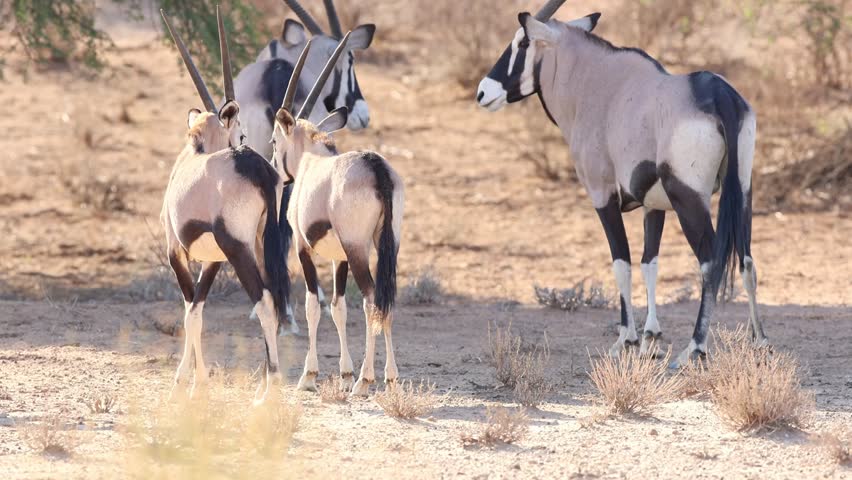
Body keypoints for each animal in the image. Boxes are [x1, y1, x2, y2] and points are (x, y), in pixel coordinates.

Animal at [160, 9, 290, 403]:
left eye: (243, 132)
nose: (243, 142)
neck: (197, 150)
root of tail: (254, 167)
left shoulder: (176, 250)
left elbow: (191, 313)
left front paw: (188, 384)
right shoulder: (214, 260)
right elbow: (197, 307)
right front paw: (193, 382)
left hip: (239, 247)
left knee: (264, 302)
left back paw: (269, 394)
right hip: (262, 245)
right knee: (277, 300)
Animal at [270, 33, 404, 395]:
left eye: (274, 141)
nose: (274, 172)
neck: (312, 159)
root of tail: (375, 168)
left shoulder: (304, 248)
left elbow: (313, 306)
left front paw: (310, 374)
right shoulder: (338, 256)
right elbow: (338, 307)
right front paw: (343, 373)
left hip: (358, 248)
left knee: (372, 299)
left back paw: (366, 380)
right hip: (384, 244)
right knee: (385, 300)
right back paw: (390, 378)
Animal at [476, 0, 768, 367]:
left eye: (522, 42)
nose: (483, 92)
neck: (597, 83)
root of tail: (720, 97)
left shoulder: (602, 195)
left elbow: (621, 264)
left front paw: (626, 340)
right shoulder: (654, 205)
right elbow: (649, 264)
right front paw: (651, 338)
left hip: (690, 199)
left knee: (711, 262)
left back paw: (695, 347)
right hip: (742, 191)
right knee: (747, 261)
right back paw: (760, 343)